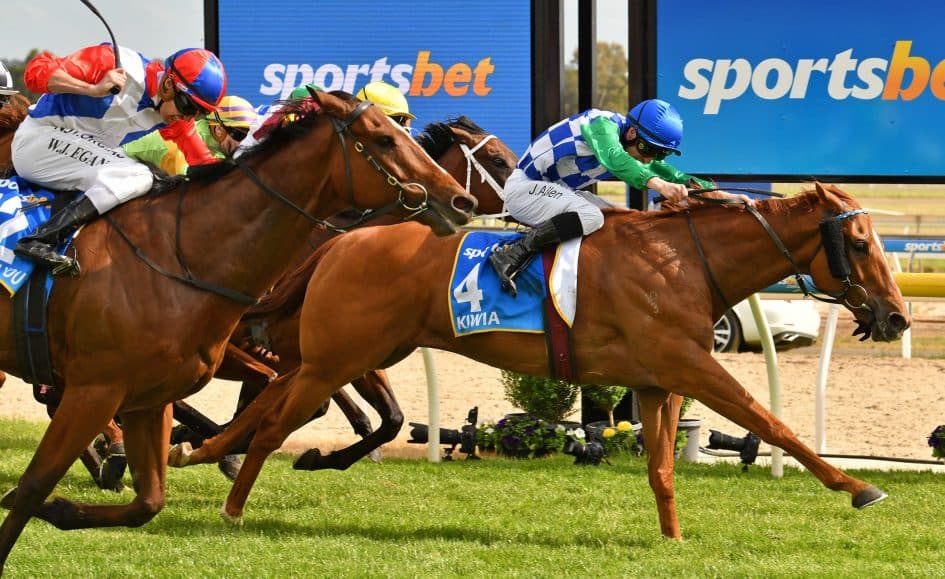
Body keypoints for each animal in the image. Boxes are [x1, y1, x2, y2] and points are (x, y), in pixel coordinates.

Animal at [0, 91, 478, 570]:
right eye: (384, 140)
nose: (460, 201)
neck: (180, 255)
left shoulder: (147, 398)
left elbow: (147, 502)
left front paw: (63, 505)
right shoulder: (95, 390)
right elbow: (34, 485)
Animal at [182, 183, 909, 536]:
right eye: (858, 243)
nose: (897, 316)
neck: (682, 259)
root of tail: (341, 241)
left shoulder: (659, 380)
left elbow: (662, 469)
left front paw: (672, 538)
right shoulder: (690, 366)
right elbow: (772, 422)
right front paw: (859, 487)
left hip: (349, 354)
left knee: (270, 398)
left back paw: (198, 450)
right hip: (337, 358)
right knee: (273, 423)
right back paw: (232, 505)